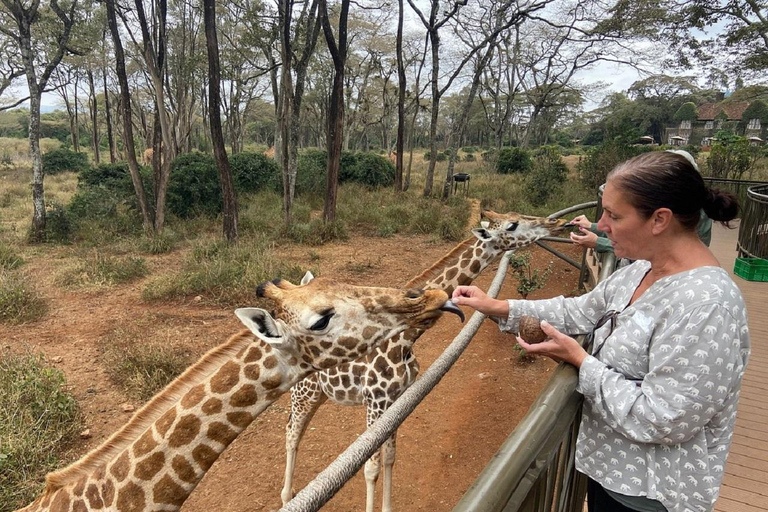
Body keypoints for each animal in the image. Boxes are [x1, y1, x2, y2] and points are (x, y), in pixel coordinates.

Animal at [280, 209, 572, 512]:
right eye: (512, 225)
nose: (556, 223)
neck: (405, 340)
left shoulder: (396, 400)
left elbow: (390, 457)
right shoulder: (375, 401)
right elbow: (370, 469)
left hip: (320, 393)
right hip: (304, 391)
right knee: (291, 431)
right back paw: (287, 496)